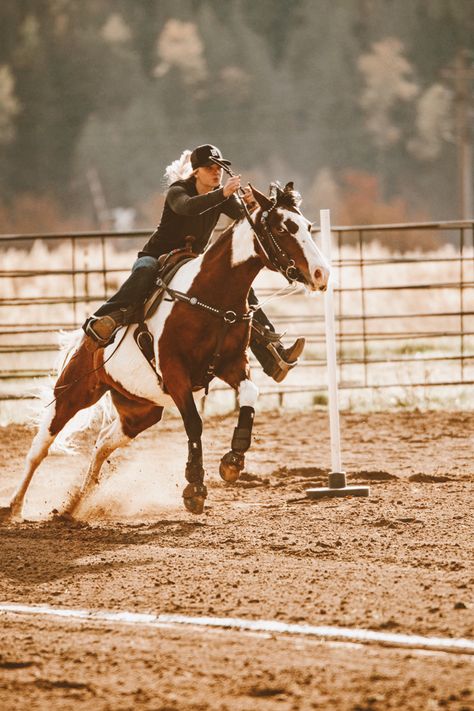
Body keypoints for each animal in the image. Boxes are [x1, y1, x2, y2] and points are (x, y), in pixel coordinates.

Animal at [0, 181, 330, 520]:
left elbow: (250, 395)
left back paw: (76, 502)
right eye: (283, 228)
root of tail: (86, 339)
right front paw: (194, 487)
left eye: (307, 225)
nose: (322, 274)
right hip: (72, 392)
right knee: (40, 447)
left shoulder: (232, 364)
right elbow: (194, 423)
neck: (210, 296)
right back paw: (16, 505)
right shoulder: (175, 373)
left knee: (103, 443)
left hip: (139, 411)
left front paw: (233, 460)